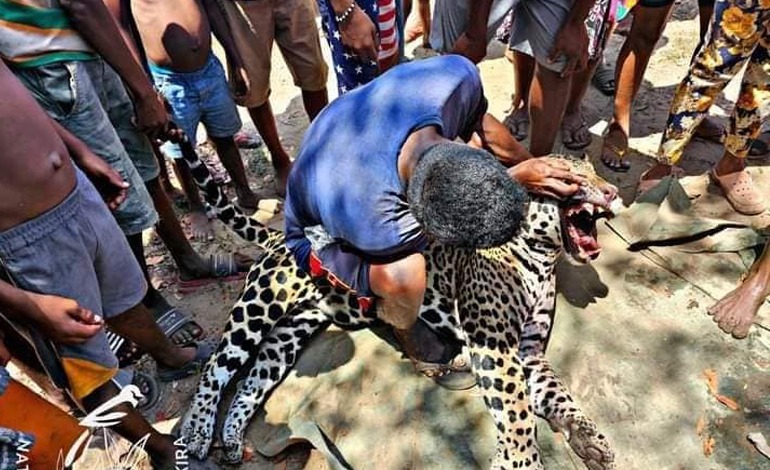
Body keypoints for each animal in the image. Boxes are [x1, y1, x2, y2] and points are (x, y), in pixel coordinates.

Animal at [177, 144, 621, 470]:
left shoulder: (528, 351)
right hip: (259, 305)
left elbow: (560, 397)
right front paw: (521, 461)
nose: (613, 192)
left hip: (292, 331)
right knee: (217, 366)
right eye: (572, 176)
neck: (543, 256)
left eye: (595, 172)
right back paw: (196, 434)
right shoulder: (495, 347)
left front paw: (591, 440)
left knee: (252, 380)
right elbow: (517, 413)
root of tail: (280, 236)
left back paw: (232, 439)